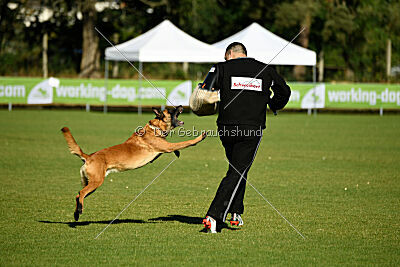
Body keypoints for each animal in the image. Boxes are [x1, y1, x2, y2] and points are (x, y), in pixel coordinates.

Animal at [63, 106, 206, 222]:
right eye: (171, 110)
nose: (181, 105)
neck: (156, 127)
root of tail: (88, 157)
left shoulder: (164, 148)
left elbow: (177, 147)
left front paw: (177, 153)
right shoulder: (166, 147)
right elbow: (184, 143)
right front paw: (199, 138)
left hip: (92, 183)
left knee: (78, 194)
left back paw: (76, 214)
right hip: (96, 182)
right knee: (81, 193)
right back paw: (79, 211)